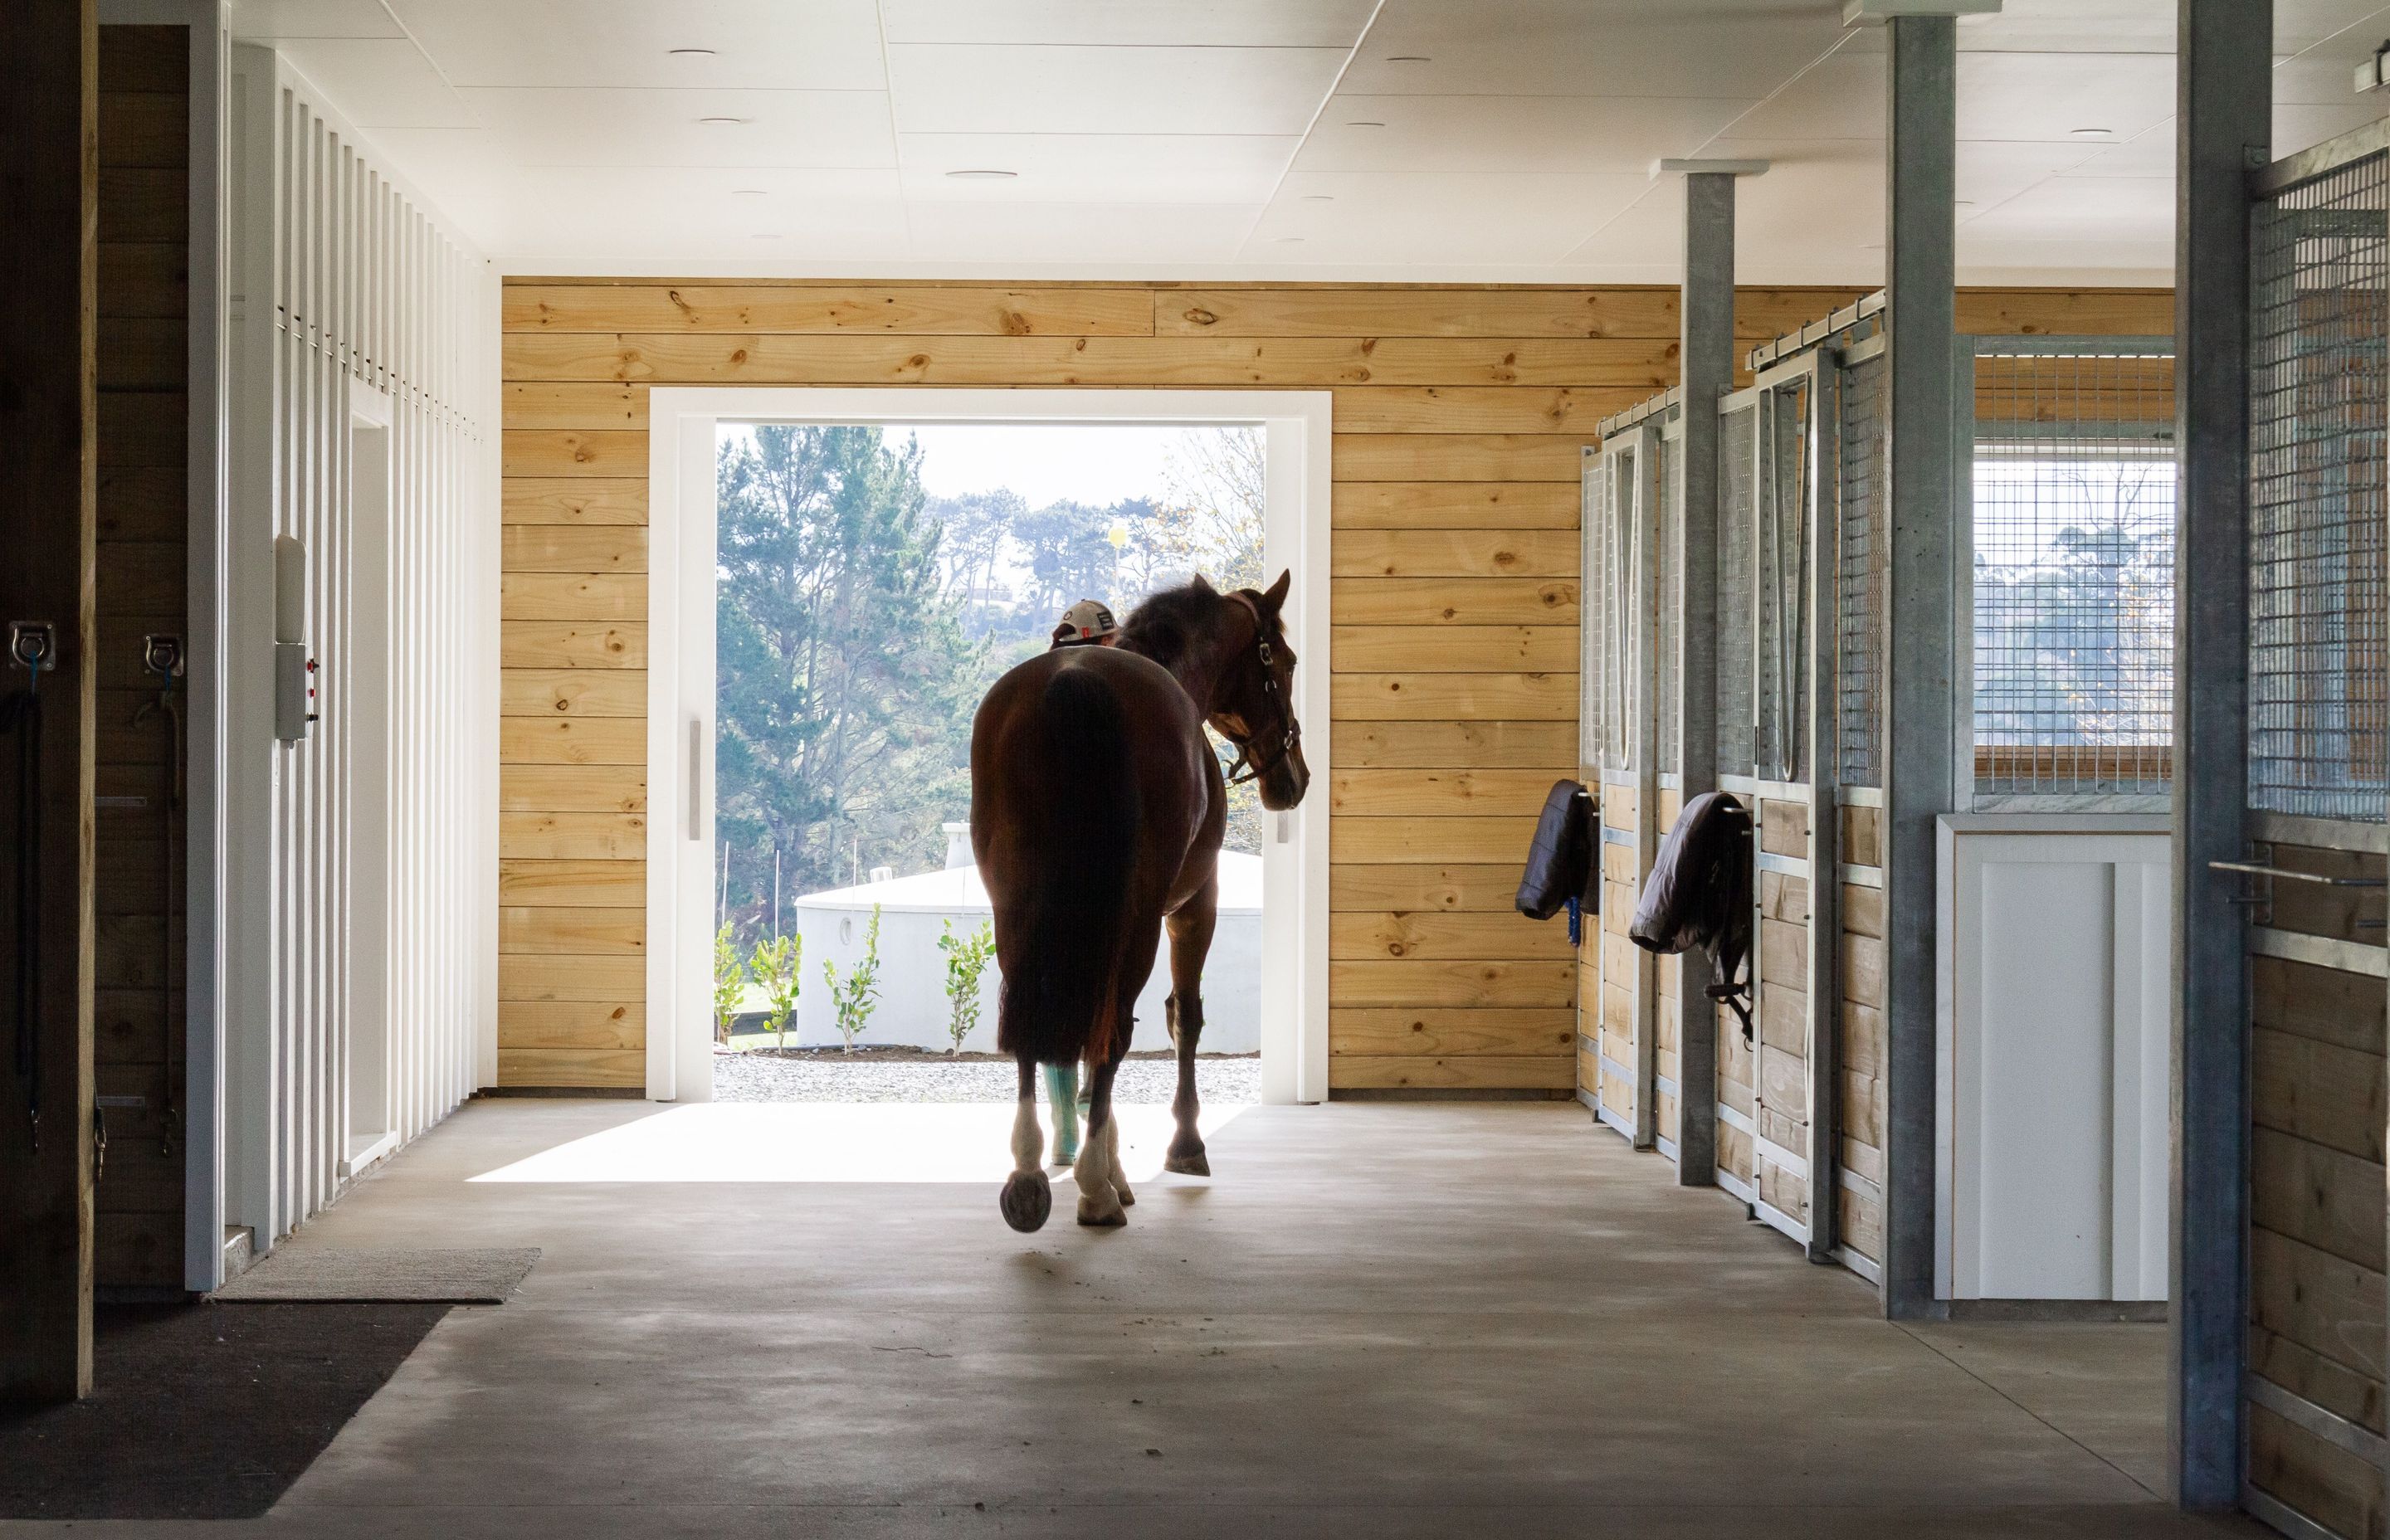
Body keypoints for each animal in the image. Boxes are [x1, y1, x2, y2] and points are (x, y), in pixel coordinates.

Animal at [965, 571, 1310, 1234]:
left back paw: (1029, 1176)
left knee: (1035, 1019)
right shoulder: (1195, 905)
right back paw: (1095, 1189)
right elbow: (1184, 1018)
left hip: (1018, 907)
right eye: (1284, 662)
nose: (1295, 778)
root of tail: (1075, 681)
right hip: (1139, 914)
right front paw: (1181, 1147)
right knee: (1115, 1029)